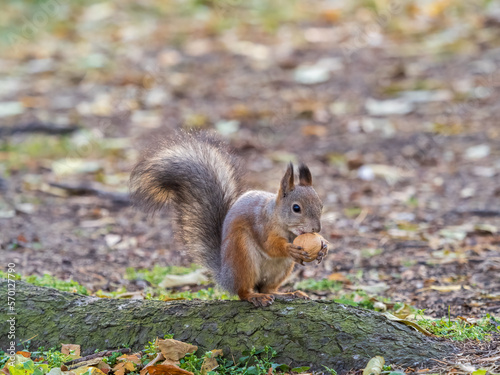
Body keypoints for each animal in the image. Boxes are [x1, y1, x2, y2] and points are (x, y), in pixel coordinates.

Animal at [131, 131, 328, 306]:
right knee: (243, 291)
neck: (280, 221)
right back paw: (255, 297)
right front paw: (289, 248)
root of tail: (225, 276)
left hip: (282, 269)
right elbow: (270, 246)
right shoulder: (260, 225)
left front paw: (323, 247)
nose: (316, 229)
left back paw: (289, 294)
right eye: (296, 208)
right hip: (242, 257)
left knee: (268, 289)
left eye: (321, 205)